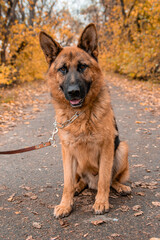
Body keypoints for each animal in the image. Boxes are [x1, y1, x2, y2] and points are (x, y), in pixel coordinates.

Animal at [39, 23, 131, 218]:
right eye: (63, 69)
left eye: (82, 67)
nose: (73, 92)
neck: (80, 115)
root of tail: (90, 183)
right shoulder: (67, 151)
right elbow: (67, 183)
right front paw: (65, 204)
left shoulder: (106, 147)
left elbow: (104, 178)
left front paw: (101, 202)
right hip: (78, 163)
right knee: (79, 181)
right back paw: (78, 188)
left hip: (122, 149)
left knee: (110, 180)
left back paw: (120, 187)